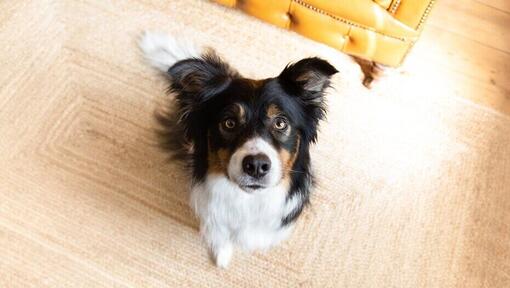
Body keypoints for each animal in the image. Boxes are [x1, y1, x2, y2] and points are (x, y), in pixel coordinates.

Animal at [140, 32, 338, 268]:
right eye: (229, 123)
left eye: (281, 123)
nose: (256, 166)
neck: (248, 201)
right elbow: (218, 232)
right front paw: (221, 255)